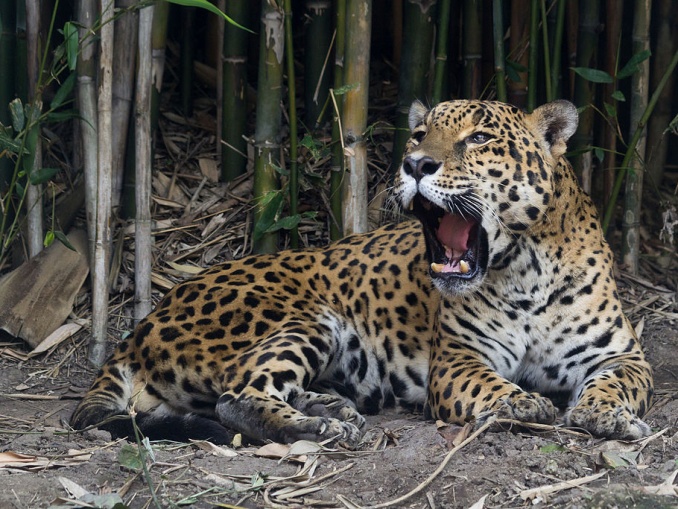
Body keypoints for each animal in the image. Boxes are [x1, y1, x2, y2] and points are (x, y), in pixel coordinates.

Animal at [71, 99, 653, 447]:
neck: (524, 270)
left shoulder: (621, 354)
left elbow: (618, 383)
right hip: (306, 319)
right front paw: (524, 401)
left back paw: (332, 404)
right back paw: (324, 424)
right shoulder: (459, 360)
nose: (415, 164)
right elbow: (492, 385)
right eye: (419, 133)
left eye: (479, 138)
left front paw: (604, 414)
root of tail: (139, 328)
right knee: (237, 396)